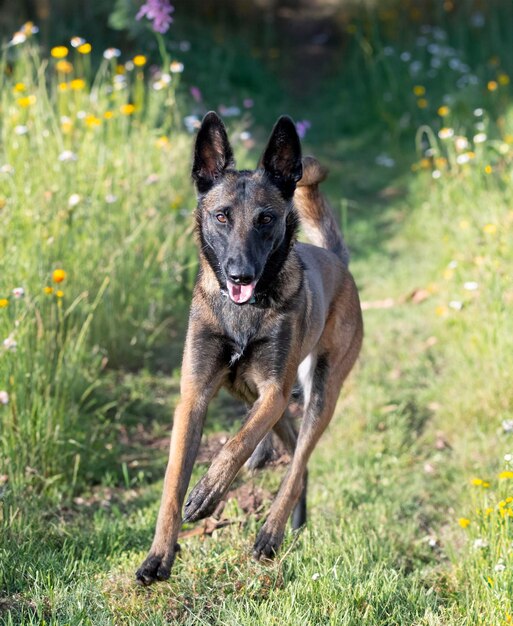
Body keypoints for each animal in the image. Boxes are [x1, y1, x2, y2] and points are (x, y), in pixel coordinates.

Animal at [134, 109, 362, 584]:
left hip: (322, 392)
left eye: (265, 219)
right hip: (258, 392)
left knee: (297, 460)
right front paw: (158, 556)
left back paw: (271, 534)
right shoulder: (194, 396)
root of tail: (337, 260)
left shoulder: (273, 391)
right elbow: (173, 483)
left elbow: (235, 444)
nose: (240, 274)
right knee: (290, 448)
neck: (244, 313)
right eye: (221, 217)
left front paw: (207, 493)